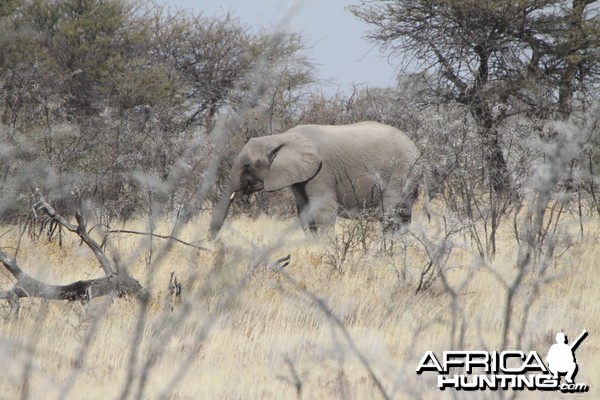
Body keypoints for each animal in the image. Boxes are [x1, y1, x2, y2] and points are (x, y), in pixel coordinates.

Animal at [209, 121, 420, 238]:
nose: (211, 244)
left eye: (248, 166)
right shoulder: (299, 175)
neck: (281, 137)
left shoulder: (321, 170)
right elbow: (304, 211)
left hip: (401, 172)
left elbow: (322, 210)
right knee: (403, 216)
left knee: (391, 212)